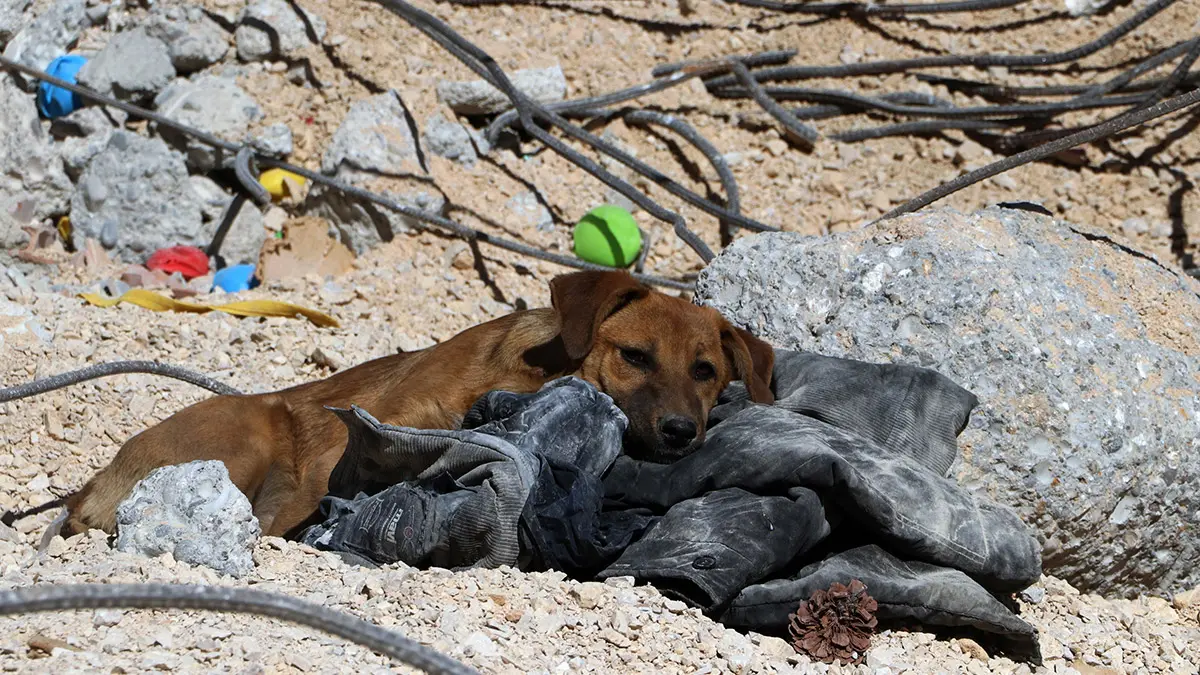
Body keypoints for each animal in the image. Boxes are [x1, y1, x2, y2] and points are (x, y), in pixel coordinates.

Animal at [63, 267, 777, 535]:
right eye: (635, 356)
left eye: (706, 371)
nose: (681, 430)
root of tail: (94, 483)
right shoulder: (353, 437)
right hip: (245, 431)